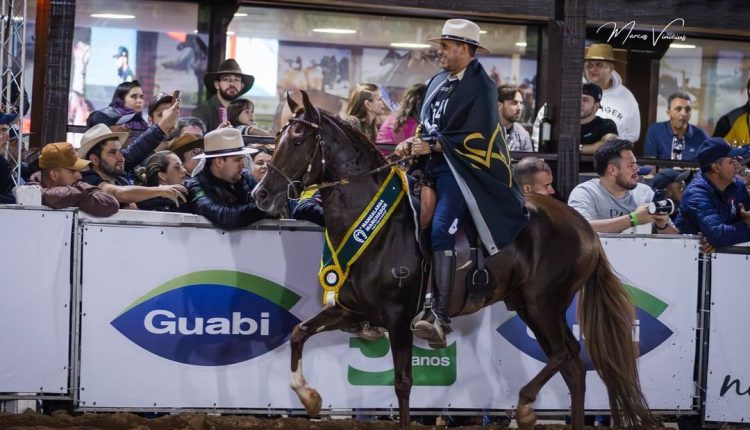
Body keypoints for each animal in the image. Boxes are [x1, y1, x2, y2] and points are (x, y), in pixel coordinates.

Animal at [253, 91, 656, 430]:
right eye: (278, 138)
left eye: (298, 140)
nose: (261, 194)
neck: (377, 224)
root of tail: (585, 228)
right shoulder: (351, 309)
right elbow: (299, 333)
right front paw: (309, 397)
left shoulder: (398, 318)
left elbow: (403, 384)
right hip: (531, 306)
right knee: (572, 367)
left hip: (543, 304)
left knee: (567, 355)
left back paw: (525, 407)